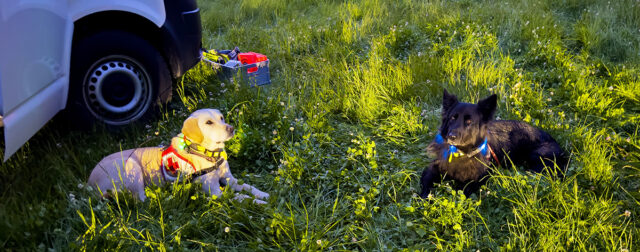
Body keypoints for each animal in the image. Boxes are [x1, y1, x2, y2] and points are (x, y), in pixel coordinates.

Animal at [89, 109, 268, 204]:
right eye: (209, 123)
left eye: (221, 118)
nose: (231, 128)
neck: (208, 153)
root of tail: (89, 184)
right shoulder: (215, 191)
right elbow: (240, 197)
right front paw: (259, 202)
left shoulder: (230, 179)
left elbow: (249, 188)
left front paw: (263, 194)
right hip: (131, 165)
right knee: (141, 199)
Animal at [420, 89, 564, 197]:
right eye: (452, 118)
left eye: (469, 121)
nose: (451, 136)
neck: (461, 153)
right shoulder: (434, 167)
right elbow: (427, 181)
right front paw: (426, 197)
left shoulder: (481, 177)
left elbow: (462, 190)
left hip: (536, 155)